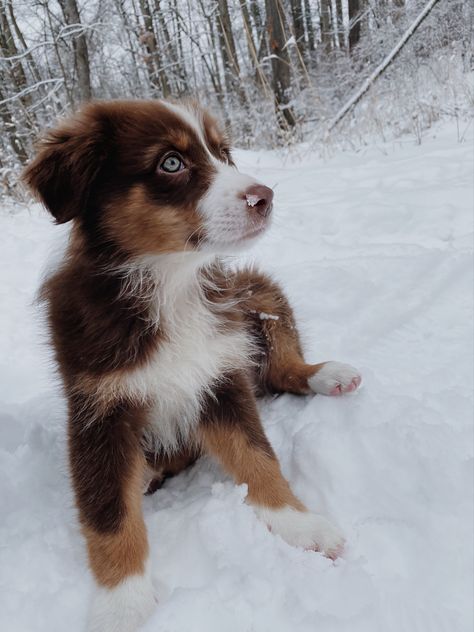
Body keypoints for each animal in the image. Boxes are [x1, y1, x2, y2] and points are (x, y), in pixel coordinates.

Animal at [24, 100, 362, 632]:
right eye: (171, 163)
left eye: (223, 152)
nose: (265, 197)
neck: (170, 282)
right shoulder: (98, 408)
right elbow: (108, 512)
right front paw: (122, 603)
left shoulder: (220, 376)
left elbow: (258, 455)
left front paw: (300, 524)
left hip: (257, 288)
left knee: (283, 369)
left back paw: (329, 374)